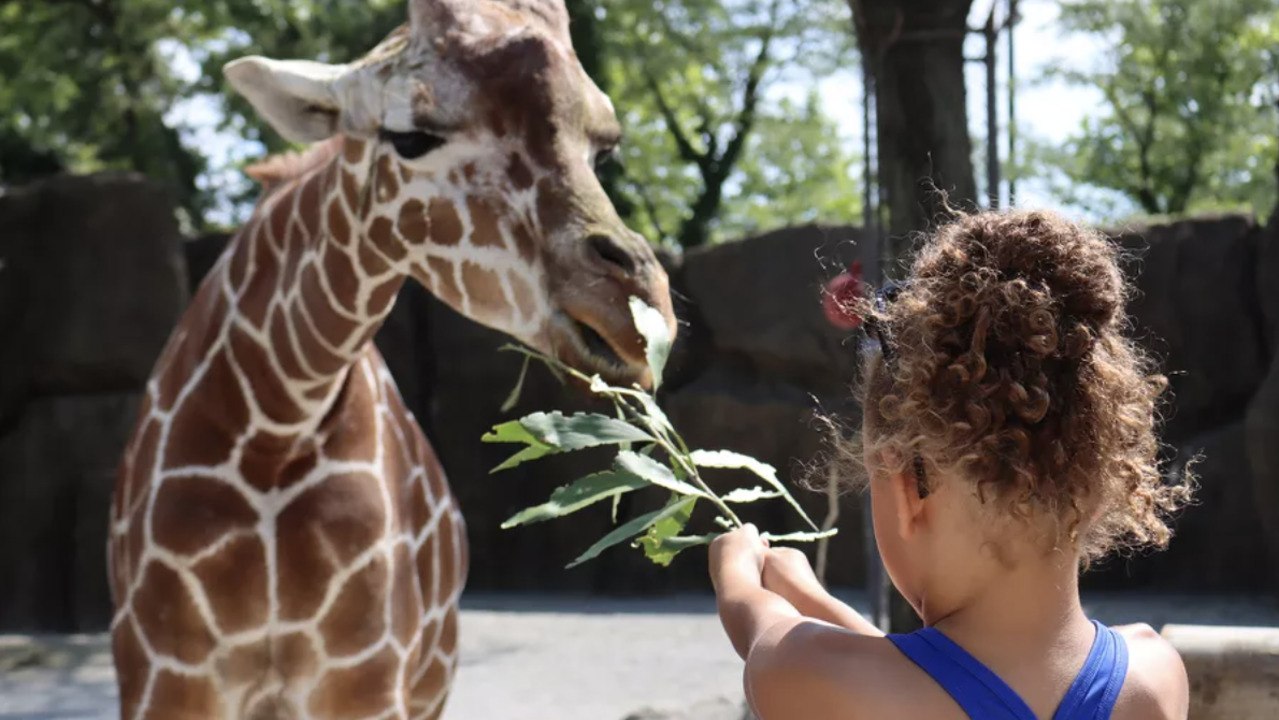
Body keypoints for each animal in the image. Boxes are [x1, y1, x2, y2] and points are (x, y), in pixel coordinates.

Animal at [107, 1, 677, 718]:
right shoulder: (164, 678)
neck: (273, 424)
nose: (635, 315)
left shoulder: (367, 682)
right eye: (409, 136)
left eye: (605, 145)